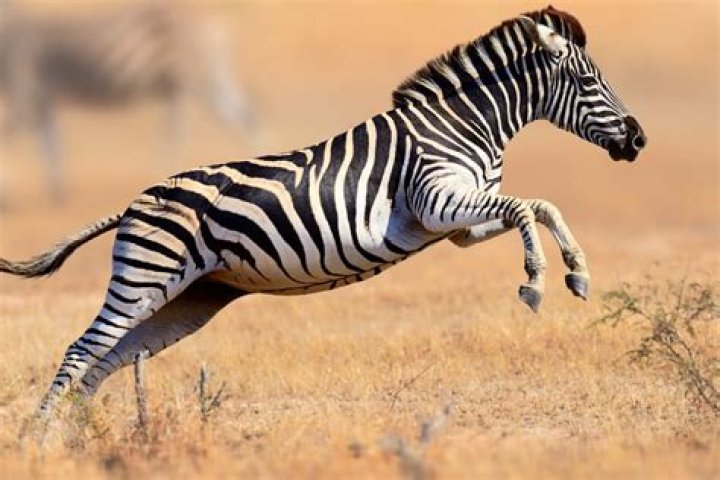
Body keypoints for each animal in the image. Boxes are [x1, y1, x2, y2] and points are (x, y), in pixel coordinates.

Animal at [0, 0, 253, 201]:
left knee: (190, 130)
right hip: (203, 80)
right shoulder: (42, 98)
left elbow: (11, 136)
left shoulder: (24, 89)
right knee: (245, 114)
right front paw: (58, 192)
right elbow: (50, 144)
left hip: (197, 81)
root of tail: (213, 25)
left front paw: (8, 196)